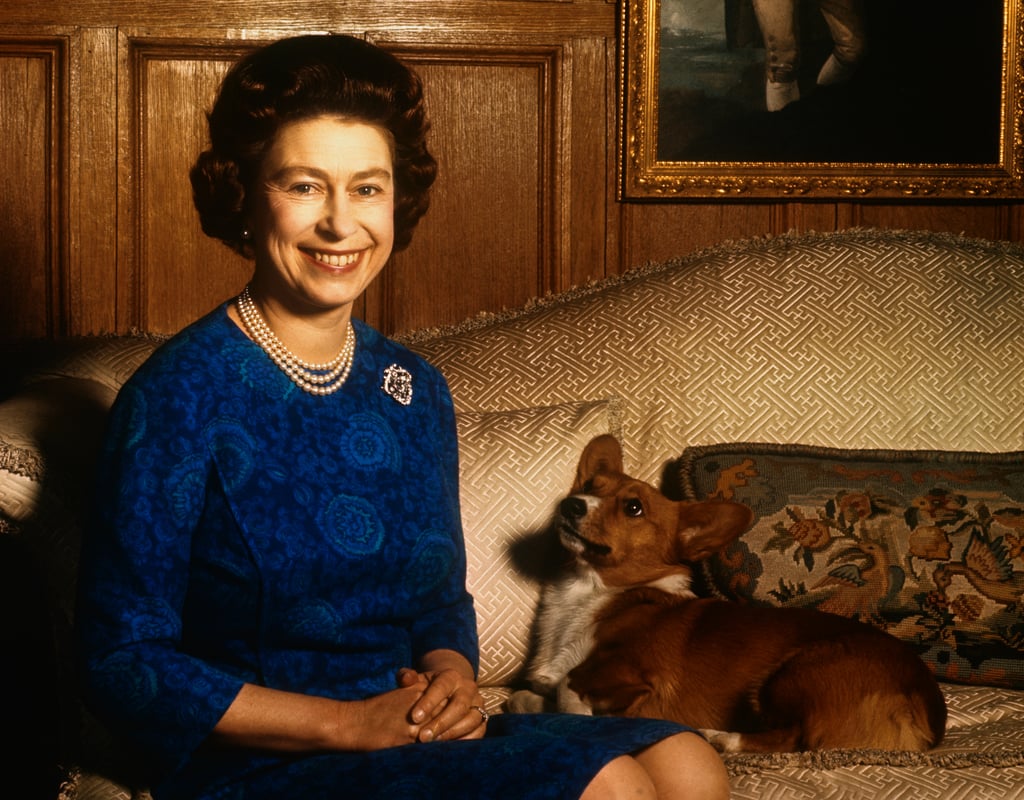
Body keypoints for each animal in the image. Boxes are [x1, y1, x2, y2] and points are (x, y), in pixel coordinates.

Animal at [507, 434, 946, 753]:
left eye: (633, 508)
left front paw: (587, 714)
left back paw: (720, 738)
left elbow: (568, 686)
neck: (590, 592)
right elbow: (529, 694)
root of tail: (927, 710)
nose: (571, 504)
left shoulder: (636, 672)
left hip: (792, 672)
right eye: (589, 486)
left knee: (794, 738)